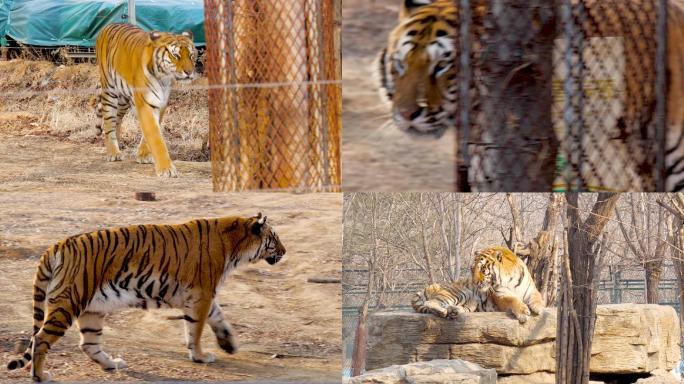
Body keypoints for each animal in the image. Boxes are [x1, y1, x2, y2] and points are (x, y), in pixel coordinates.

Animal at [5, 213, 284, 380]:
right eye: (275, 238)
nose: (285, 251)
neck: (235, 245)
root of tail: (57, 245)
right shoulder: (201, 295)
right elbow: (195, 330)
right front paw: (200, 356)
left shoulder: (202, 297)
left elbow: (218, 317)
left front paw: (228, 344)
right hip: (68, 302)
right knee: (40, 339)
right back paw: (40, 377)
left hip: (92, 310)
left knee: (88, 344)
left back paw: (112, 364)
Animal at [93, 24, 196, 178]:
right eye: (176, 56)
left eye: (191, 55)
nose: (189, 73)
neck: (163, 78)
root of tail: (108, 25)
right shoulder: (146, 103)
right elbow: (155, 136)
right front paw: (166, 169)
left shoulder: (161, 104)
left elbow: (150, 131)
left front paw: (143, 155)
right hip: (110, 91)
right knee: (108, 122)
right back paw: (113, 152)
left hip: (123, 99)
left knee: (117, 119)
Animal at [412, 246, 544, 320]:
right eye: (472, 269)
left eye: (482, 269)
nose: (475, 282)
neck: (510, 279)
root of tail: (422, 290)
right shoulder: (501, 295)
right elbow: (513, 300)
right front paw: (523, 313)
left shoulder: (531, 290)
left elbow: (538, 297)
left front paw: (539, 308)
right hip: (458, 293)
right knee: (431, 302)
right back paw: (443, 311)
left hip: (471, 302)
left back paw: (453, 311)